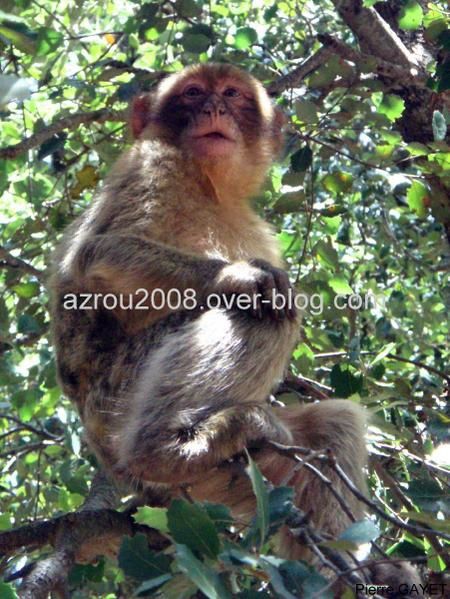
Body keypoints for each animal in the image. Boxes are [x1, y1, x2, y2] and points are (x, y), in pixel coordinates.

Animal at [49, 62, 418, 592]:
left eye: (231, 94)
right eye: (193, 93)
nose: (213, 108)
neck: (209, 185)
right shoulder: (150, 165)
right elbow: (100, 256)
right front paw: (237, 277)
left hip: (230, 484)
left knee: (332, 424)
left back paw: (347, 567)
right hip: (121, 393)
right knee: (262, 315)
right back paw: (165, 448)